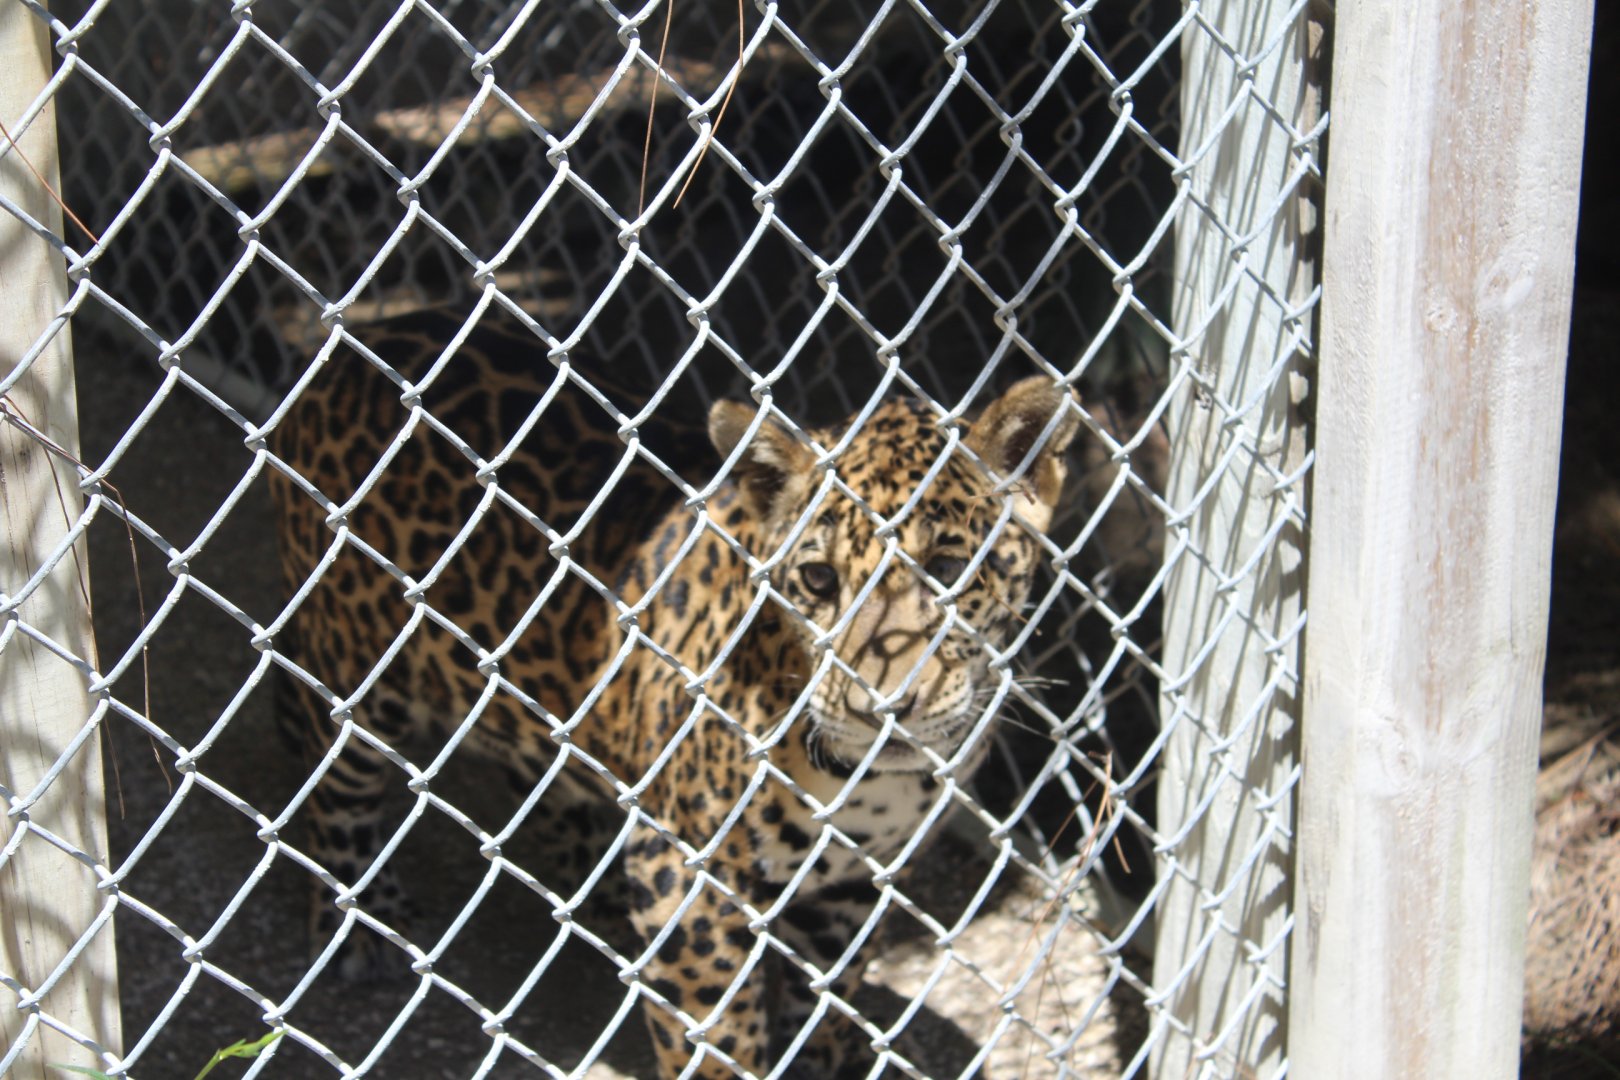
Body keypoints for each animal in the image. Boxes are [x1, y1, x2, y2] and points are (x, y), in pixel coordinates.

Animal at [268, 306, 1078, 1078]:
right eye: (819, 580)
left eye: (950, 568)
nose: (880, 708)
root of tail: (354, 343)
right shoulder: (690, 890)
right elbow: (718, 1041)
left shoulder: (853, 886)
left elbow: (829, 1001)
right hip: (358, 661)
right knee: (330, 768)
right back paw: (361, 923)